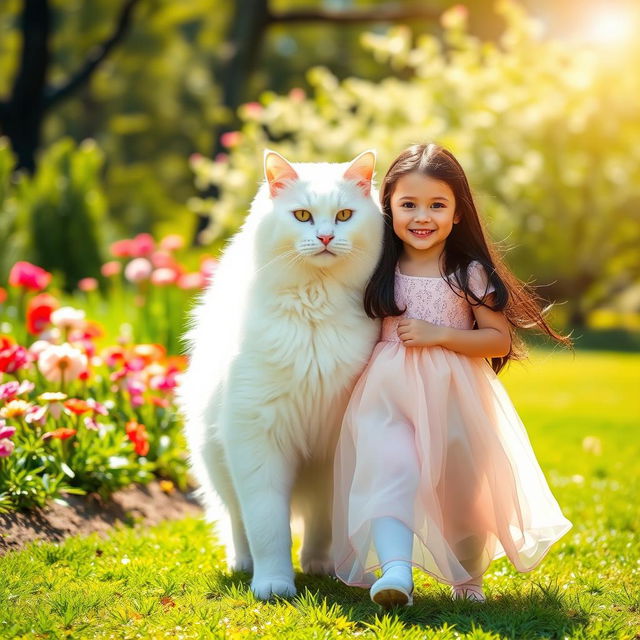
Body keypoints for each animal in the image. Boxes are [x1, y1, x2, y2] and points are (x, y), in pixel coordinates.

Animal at [178, 150, 382, 600]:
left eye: (344, 215)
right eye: (302, 215)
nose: (325, 238)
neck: (316, 308)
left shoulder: (331, 449)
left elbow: (323, 522)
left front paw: (320, 566)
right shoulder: (257, 437)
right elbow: (267, 525)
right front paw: (273, 585)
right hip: (218, 461)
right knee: (237, 521)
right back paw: (243, 564)